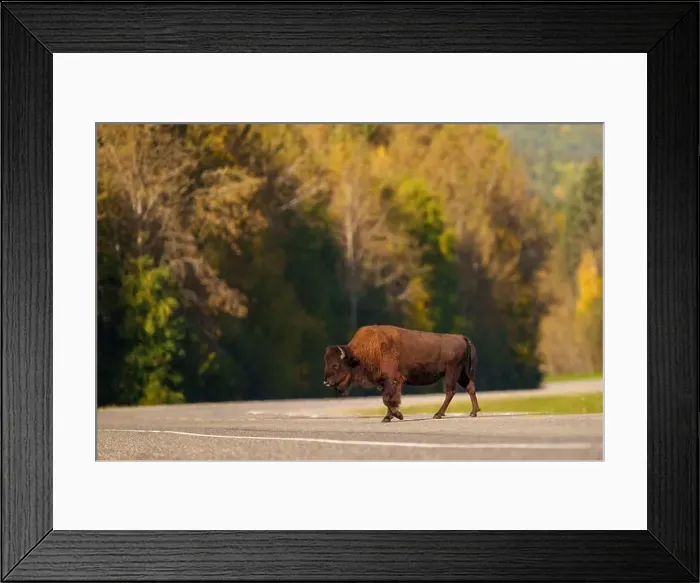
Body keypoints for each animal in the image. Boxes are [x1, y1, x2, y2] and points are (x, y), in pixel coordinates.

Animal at [323, 324, 480, 422]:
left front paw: (397, 416)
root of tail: (461, 337)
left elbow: (388, 400)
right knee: (470, 388)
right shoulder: (386, 383)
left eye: (336, 365)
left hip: (452, 373)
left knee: (450, 392)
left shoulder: (392, 380)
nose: (326, 381)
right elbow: (388, 400)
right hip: (461, 374)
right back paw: (473, 412)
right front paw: (388, 417)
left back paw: (438, 414)